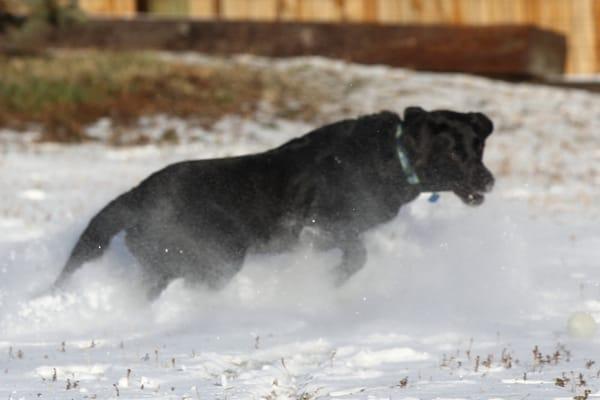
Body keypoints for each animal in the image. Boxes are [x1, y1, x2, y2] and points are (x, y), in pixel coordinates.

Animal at [54, 108, 494, 298]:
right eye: (453, 152)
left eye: (479, 147)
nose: (488, 181)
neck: (394, 156)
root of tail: (137, 195)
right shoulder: (324, 225)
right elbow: (356, 257)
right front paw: (328, 282)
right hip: (221, 253)